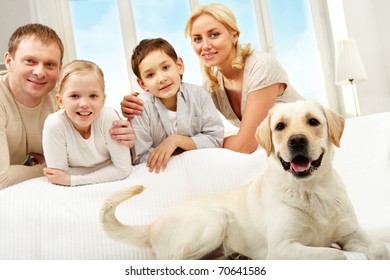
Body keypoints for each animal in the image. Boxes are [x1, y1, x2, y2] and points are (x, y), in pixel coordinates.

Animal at [101, 100, 390, 260]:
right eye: (280, 126)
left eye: (313, 121)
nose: (297, 140)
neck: (312, 190)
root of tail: (152, 225)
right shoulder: (282, 249)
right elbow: (336, 254)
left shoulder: (351, 233)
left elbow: (379, 249)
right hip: (214, 219)